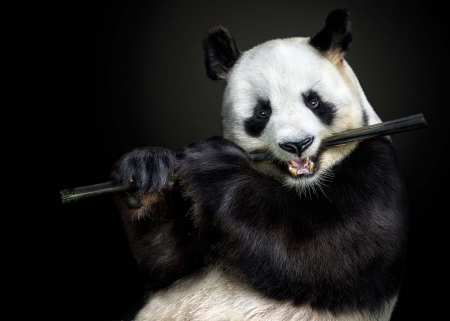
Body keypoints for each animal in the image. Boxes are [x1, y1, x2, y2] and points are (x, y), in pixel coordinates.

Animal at [110, 8, 410, 320]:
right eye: (262, 112)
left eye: (313, 102)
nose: (297, 144)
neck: (304, 186)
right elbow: (167, 263)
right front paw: (145, 171)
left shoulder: (376, 168)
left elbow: (325, 253)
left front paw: (213, 163)